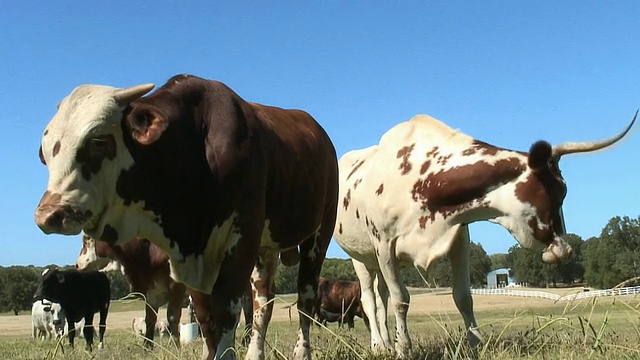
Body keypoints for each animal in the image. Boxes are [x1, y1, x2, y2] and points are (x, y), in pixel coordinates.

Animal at [33, 74, 340, 360]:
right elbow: (205, 318)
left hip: (318, 234)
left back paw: (302, 351)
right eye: (46, 154)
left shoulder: (241, 240)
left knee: (305, 298)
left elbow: (225, 310)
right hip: (265, 249)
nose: (48, 215)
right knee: (263, 304)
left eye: (97, 141)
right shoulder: (194, 262)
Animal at [336, 112, 636, 358]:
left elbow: (462, 296)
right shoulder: (385, 244)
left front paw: (476, 343)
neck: (422, 181)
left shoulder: (458, 237)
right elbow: (402, 300)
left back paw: (387, 341)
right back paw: (379, 344)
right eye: (560, 192)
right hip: (360, 258)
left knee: (381, 297)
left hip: (377, 262)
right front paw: (404, 349)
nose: (565, 250)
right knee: (370, 299)